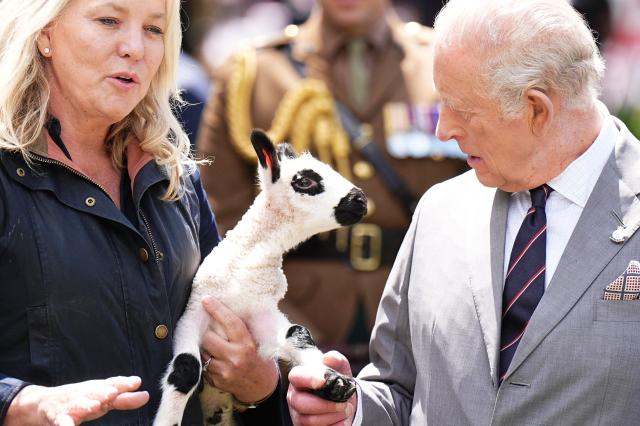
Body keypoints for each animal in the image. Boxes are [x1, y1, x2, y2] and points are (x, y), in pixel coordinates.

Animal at [154, 129, 367, 426]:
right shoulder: (195, 312)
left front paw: (334, 382)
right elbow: (187, 369)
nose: (361, 200)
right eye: (305, 181)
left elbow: (297, 334)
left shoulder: (260, 316)